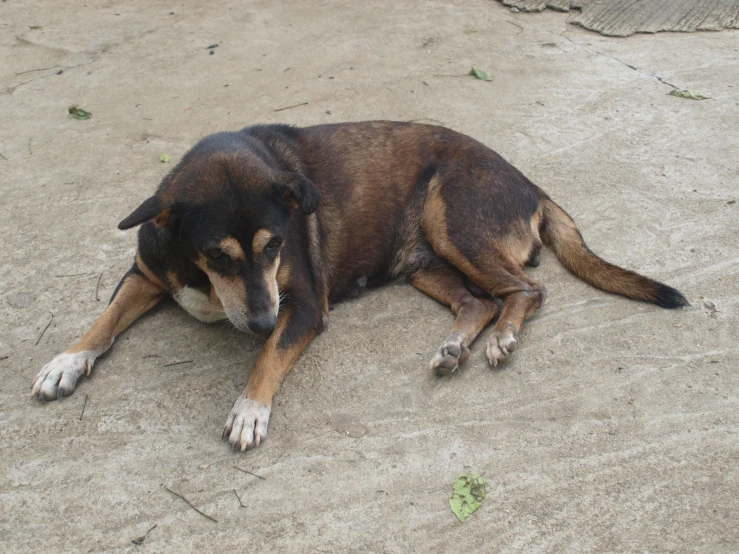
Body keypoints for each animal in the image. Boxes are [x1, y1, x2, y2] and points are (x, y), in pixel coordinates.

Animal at [28, 121, 688, 448]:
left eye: (274, 247)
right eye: (216, 255)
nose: (260, 321)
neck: (203, 279)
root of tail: (533, 184)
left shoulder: (301, 306)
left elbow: (268, 359)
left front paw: (249, 410)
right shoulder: (145, 274)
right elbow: (103, 321)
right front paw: (65, 361)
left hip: (454, 220)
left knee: (526, 290)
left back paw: (503, 339)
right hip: (422, 262)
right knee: (477, 301)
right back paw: (456, 346)